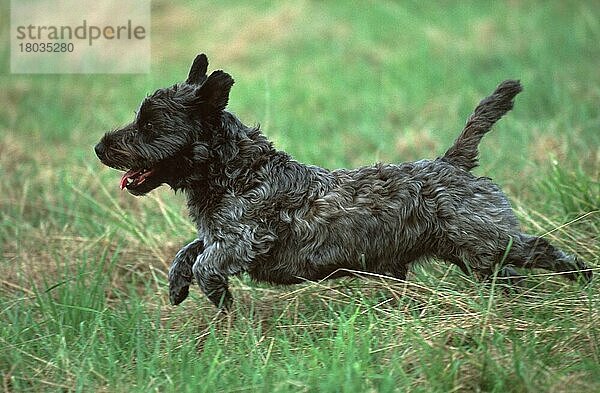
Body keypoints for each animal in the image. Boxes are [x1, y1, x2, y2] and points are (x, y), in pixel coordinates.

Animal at [96, 52, 592, 310]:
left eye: (150, 123)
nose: (100, 146)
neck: (234, 170)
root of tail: (453, 164)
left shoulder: (245, 238)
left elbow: (206, 261)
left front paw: (217, 296)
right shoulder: (221, 233)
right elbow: (190, 249)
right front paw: (178, 285)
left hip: (487, 240)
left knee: (541, 249)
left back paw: (582, 276)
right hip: (476, 257)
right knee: (511, 275)